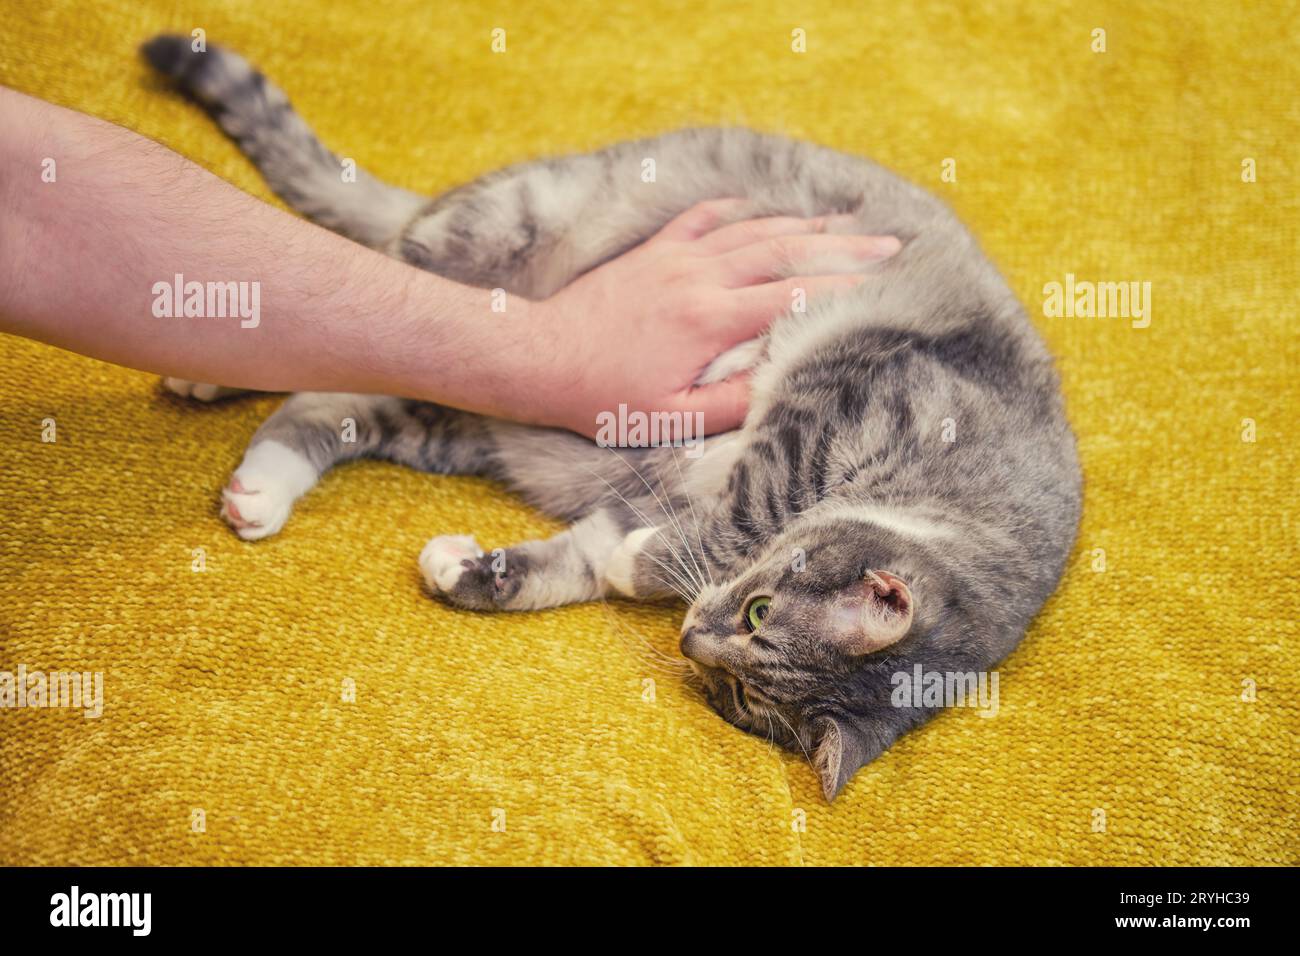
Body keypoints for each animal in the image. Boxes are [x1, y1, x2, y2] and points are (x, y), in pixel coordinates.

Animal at [139, 33, 1086, 801]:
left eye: (737, 692)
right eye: (759, 613)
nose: (692, 638)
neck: (967, 502)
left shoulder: (638, 495)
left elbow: (580, 560)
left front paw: (479, 571)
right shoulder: (835, 401)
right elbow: (749, 507)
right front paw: (650, 561)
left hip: (465, 401)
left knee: (330, 393)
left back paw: (258, 486)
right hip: (501, 229)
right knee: (367, 280)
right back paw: (205, 364)